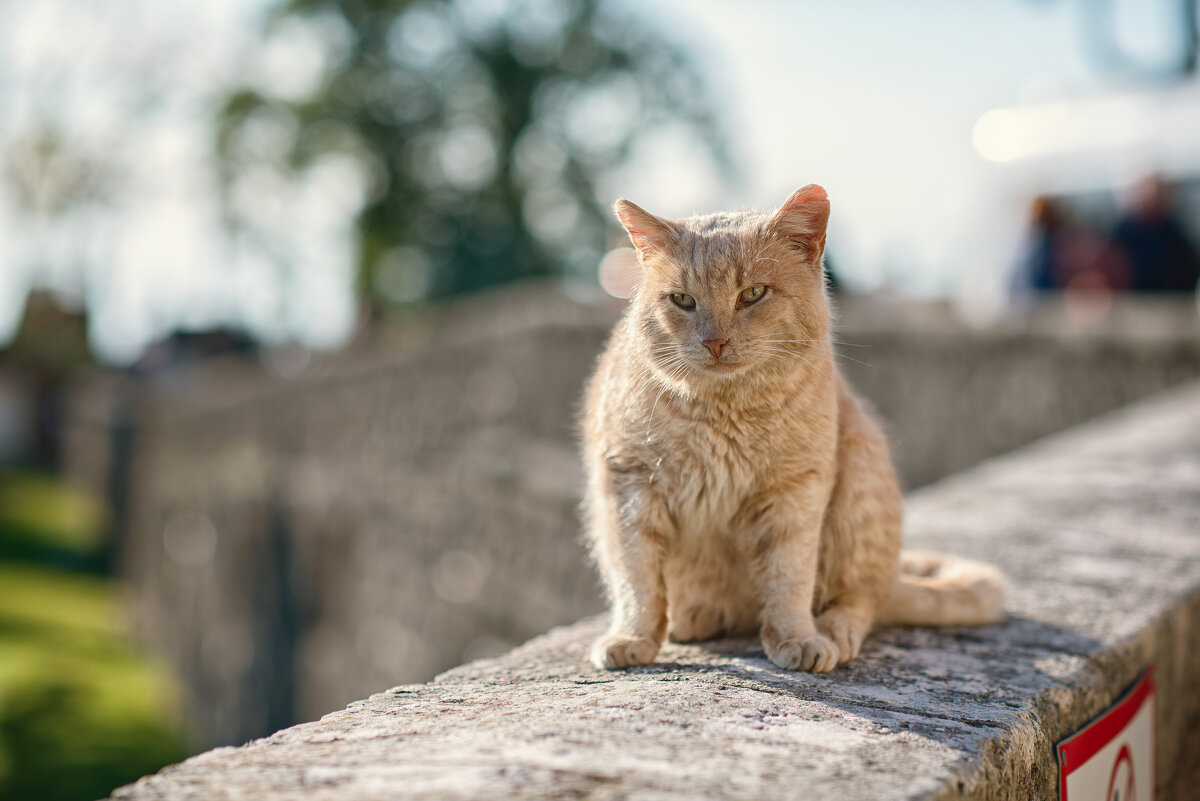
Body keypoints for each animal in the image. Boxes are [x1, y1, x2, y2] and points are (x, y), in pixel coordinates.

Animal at [580, 184, 1003, 671]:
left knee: (860, 600)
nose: (715, 341)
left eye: (753, 293)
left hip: (861, 484)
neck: (723, 413)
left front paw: (797, 638)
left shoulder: (796, 491)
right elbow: (637, 581)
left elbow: (789, 578)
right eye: (683, 300)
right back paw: (696, 619)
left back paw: (832, 632)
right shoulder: (628, 487)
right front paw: (632, 637)